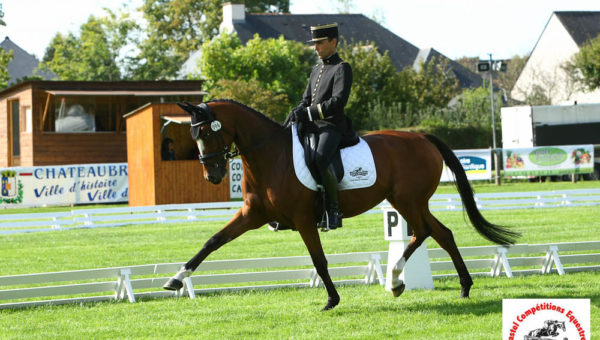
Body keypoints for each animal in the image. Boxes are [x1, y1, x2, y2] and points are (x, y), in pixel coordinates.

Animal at [165, 99, 520, 310]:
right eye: (194, 135)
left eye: (207, 133)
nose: (212, 175)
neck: (270, 156)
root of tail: (421, 137)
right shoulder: (252, 214)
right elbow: (213, 241)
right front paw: (176, 279)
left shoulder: (303, 219)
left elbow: (319, 260)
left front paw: (332, 299)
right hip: (411, 201)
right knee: (441, 233)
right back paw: (459, 287)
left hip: (407, 200)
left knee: (423, 232)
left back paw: (397, 280)